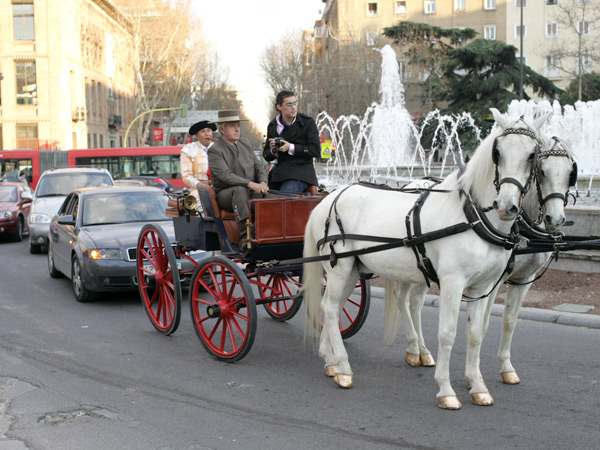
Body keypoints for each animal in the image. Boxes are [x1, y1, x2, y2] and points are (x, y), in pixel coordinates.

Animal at [304, 108, 548, 408]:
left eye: (533, 155)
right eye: (498, 152)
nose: (506, 206)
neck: (471, 216)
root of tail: (329, 198)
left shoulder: (483, 286)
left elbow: (475, 335)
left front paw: (478, 386)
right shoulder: (453, 283)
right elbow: (447, 334)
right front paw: (446, 389)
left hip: (352, 271)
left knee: (331, 307)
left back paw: (331, 361)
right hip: (340, 268)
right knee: (329, 308)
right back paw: (344, 367)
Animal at [384, 137, 576, 386]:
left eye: (571, 172)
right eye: (542, 171)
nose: (556, 218)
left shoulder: (525, 279)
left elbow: (510, 321)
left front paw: (506, 367)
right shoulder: (496, 279)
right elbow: (483, 326)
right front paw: (477, 376)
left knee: (414, 302)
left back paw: (422, 351)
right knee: (403, 297)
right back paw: (415, 348)